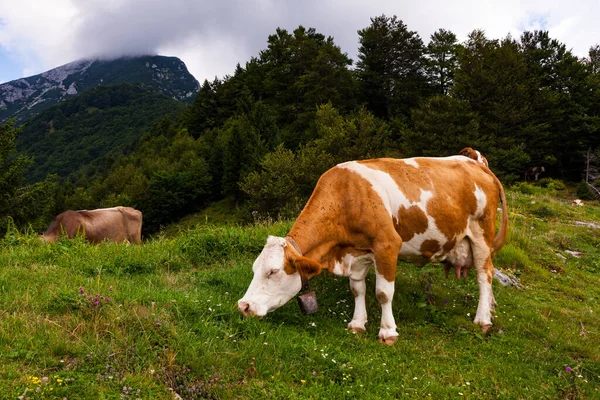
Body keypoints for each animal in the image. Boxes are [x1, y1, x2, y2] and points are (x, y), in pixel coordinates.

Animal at [239, 156, 506, 344]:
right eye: (254, 269)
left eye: (273, 271)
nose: (243, 306)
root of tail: (476, 163)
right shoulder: (356, 253)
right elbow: (357, 289)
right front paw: (357, 323)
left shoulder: (387, 245)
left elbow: (383, 293)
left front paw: (388, 331)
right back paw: (491, 306)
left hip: (481, 234)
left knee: (484, 274)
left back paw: (483, 319)